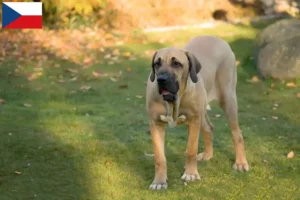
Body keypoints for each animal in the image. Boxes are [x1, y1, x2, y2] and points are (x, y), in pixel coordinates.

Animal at [145, 36, 248, 191]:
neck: (174, 101)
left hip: (228, 98)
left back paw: (241, 162)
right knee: (209, 128)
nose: (161, 79)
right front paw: (159, 181)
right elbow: (159, 157)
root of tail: (217, 38)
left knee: (237, 133)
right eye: (157, 63)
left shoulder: (193, 121)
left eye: (176, 64)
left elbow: (191, 150)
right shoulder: (156, 124)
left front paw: (191, 174)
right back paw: (208, 155)